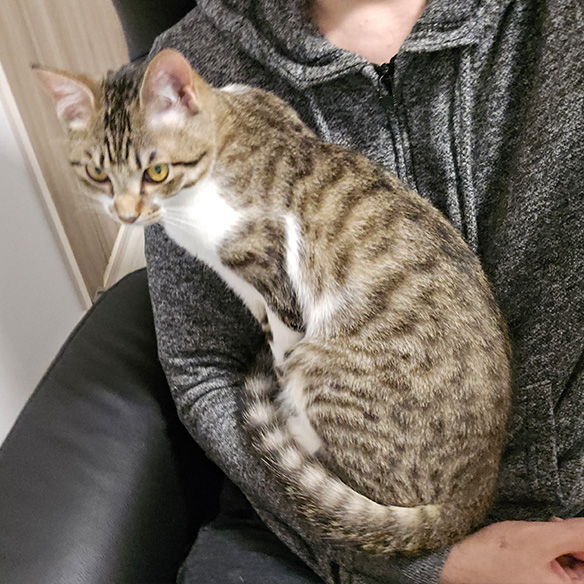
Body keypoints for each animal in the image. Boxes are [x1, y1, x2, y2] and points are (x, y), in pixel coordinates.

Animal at [35, 48, 512, 554]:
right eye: (97, 173)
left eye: (156, 171)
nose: (127, 215)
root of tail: (475, 494)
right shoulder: (246, 276)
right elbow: (263, 324)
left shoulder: (273, 272)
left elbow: (282, 342)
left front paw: (278, 388)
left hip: (327, 368)